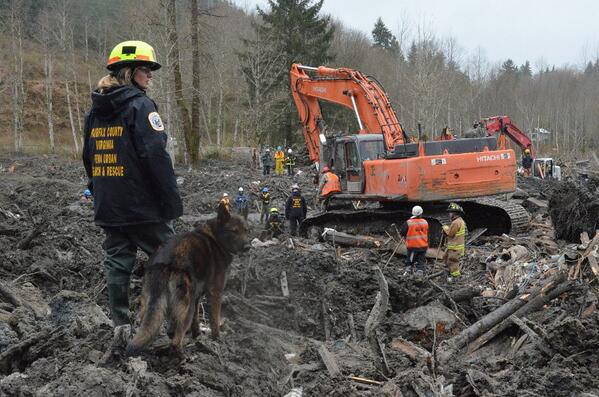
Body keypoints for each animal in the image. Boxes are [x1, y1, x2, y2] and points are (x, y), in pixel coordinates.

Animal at [126, 204, 248, 356]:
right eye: (234, 231)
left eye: (246, 230)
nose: (248, 247)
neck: (215, 238)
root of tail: (165, 262)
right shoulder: (215, 293)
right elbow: (214, 321)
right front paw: (216, 340)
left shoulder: (197, 297)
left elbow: (196, 320)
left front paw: (197, 335)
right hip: (186, 307)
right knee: (177, 339)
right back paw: (182, 355)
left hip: (150, 304)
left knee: (148, 327)